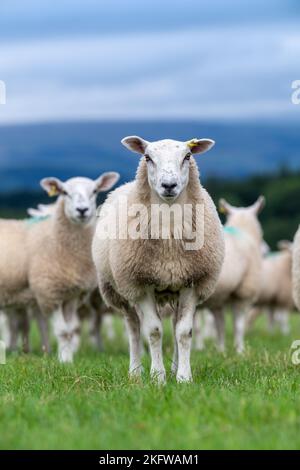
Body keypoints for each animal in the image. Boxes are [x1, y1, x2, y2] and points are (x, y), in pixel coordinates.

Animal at [25, 174, 119, 362]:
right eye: (65, 192)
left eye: (95, 191)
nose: (82, 210)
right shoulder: (51, 292)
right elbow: (65, 329)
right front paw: (66, 357)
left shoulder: (77, 295)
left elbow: (73, 329)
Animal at [92, 135, 224, 382]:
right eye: (147, 157)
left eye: (187, 156)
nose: (169, 185)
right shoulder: (142, 284)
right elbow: (153, 331)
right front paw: (157, 377)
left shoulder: (191, 281)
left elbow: (184, 332)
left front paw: (183, 377)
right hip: (121, 291)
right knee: (134, 328)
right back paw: (135, 372)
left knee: (173, 324)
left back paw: (173, 368)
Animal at [200, 196, 266, 354]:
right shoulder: (243, 292)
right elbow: (239, 325)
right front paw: (240, 350)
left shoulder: (217, 299)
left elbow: (220, 324)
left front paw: (220, 350)